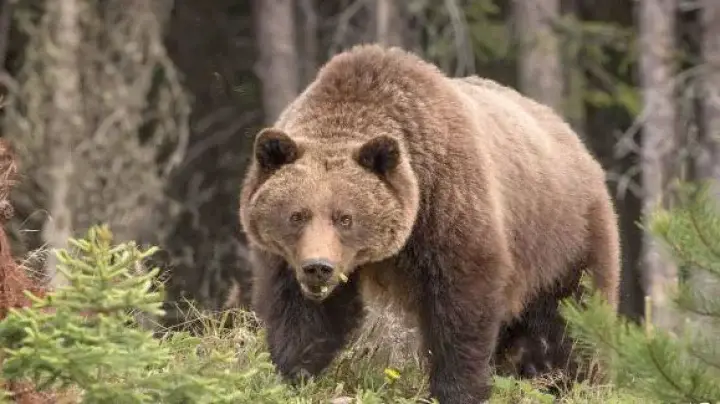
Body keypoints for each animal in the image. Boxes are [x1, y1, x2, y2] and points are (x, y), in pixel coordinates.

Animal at [238, 44, 621, 403]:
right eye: (297, 215)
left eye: (345, 218)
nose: (319, 267)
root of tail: (577, 144)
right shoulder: (289, 259)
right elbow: (302, 317)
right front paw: (292, 374)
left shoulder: (448, 208)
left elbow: (461, 309)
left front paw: (457, 390)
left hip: (565, 239)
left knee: (571, 322)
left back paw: (575, 383)